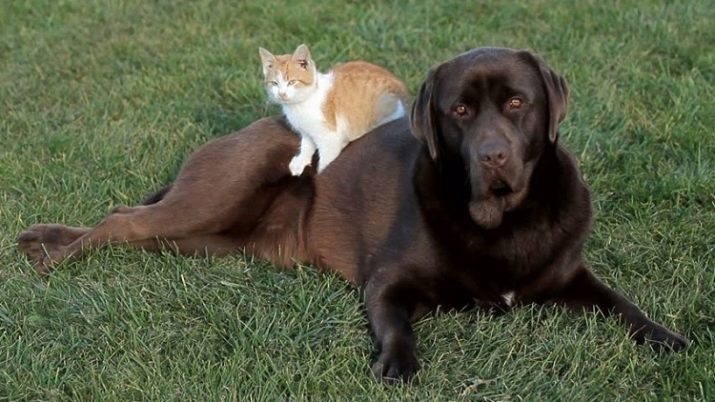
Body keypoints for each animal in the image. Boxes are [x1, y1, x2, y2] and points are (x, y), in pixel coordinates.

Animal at [259, 44, 409, 175]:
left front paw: (320, 176)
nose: (282, 94)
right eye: (274, 83)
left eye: (292, 82)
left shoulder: (329, 136)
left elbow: (326, 161)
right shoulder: (306, 130)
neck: (302, 103)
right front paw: (301, 160)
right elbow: (306, 144)